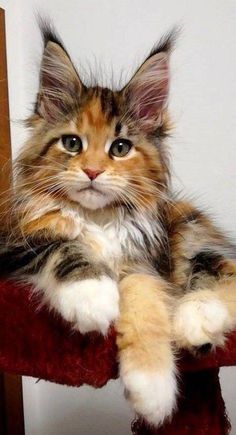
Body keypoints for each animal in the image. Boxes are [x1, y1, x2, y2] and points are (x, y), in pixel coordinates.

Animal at [0, 22, 236, 428]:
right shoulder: (14, 242)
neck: (98, 219)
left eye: (121, 148)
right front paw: (91, 294)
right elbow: (62, 245)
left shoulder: (142, 264)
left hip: (187, 228)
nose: (93, 171)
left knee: (221, 271)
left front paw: (152, 391)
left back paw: (196, 317)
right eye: (72, 143)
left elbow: (144, 301)